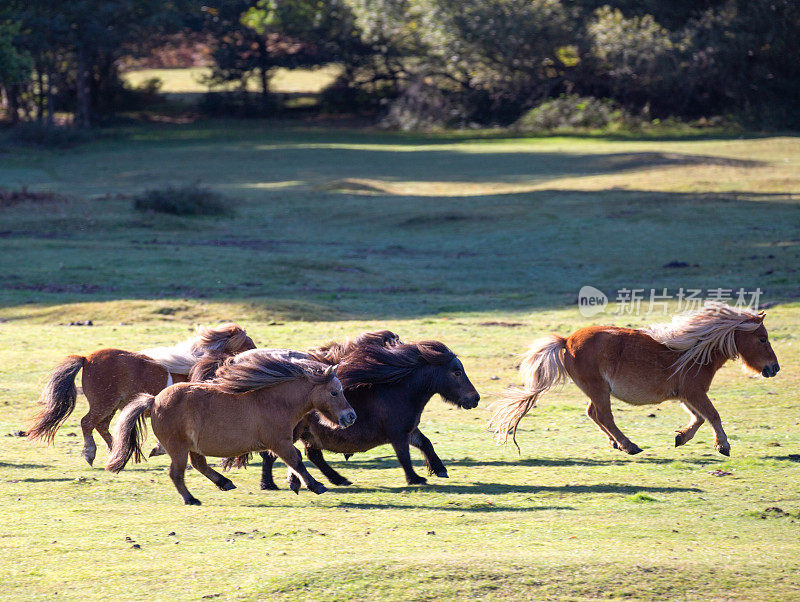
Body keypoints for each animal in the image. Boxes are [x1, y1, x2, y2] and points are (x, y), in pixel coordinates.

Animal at [28, 322, 255, 462]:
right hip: (105, 403)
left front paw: (157, 449)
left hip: (112, 405)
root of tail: (86, 358)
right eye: (247, 344)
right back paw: (91, 454)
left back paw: (116, 451)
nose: (257, 356)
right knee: (87, 422)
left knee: (101, 426)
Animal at [106, 350, 356, 504]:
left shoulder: (280, 442)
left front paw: (298, 484)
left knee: (199, 464)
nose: (351, 417)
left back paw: (224, 483)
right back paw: (191, 499)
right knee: (176, 473)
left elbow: (294, 461)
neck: (274, 401)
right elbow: (296, 460)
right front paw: (316, 485)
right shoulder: (279, 442)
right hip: (178, 448)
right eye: (334, 392)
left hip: (191, 447)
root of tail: (154, 400)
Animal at [490, 304, 780, 454]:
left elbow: (698, 418)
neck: (696, 351)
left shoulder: (686, 395)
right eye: (762, 339)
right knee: (603, 416)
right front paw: (723, 445)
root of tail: (567, 340)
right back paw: (629, 445)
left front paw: (681, 437)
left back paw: (617, 443)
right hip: (599, 390)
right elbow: (713, 415)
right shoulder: (695, 392)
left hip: (597, 391)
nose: (774, 368)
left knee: (594, 414)